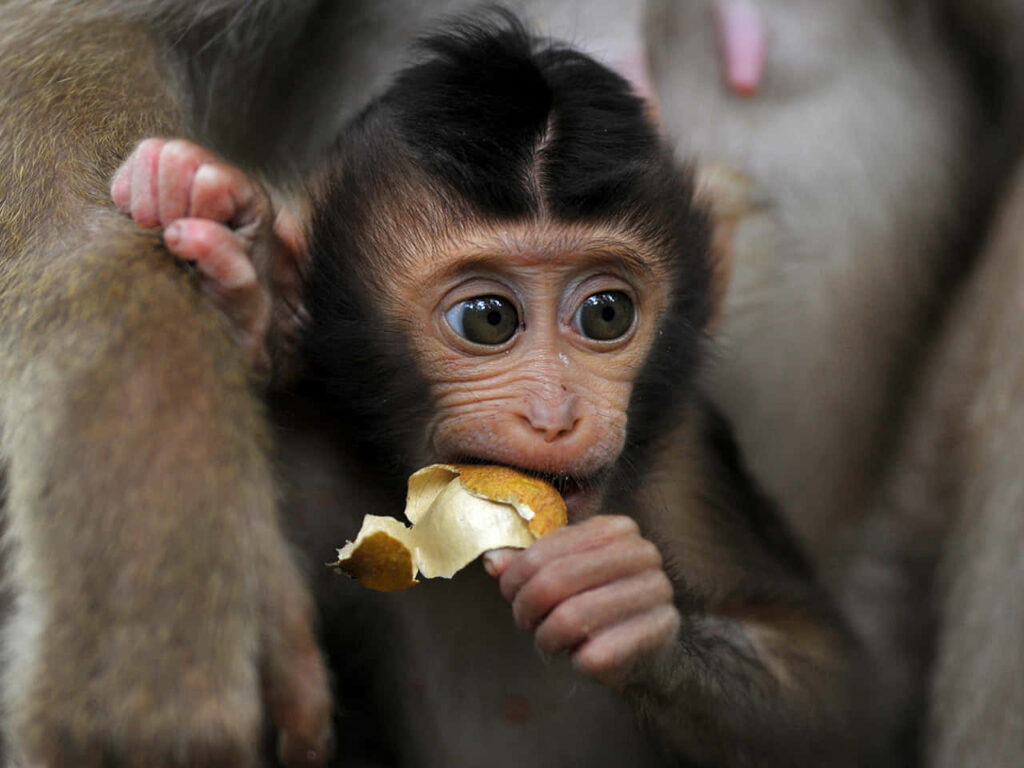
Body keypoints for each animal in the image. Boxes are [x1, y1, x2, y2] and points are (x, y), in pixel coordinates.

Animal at [110, 14, 880, 767]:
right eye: (488, 319)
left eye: (607, 314)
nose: (554, 415)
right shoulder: (313, 461)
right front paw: (241, 267)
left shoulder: (683, 461)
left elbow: (839, 700)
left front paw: (620, 603)